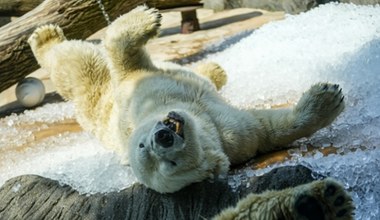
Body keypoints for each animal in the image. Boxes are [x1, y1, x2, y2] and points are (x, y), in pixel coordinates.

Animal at [29, 5, 344, 195]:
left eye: (142, 144)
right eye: (169, 165)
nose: (163, 136)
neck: (197, 118)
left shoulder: (141, 94)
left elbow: (126, 59)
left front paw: (146, 16)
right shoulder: (228, 138)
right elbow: (265, 128)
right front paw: (328, 98)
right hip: (94, 103)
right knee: (77, 68)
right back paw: (44, 37)